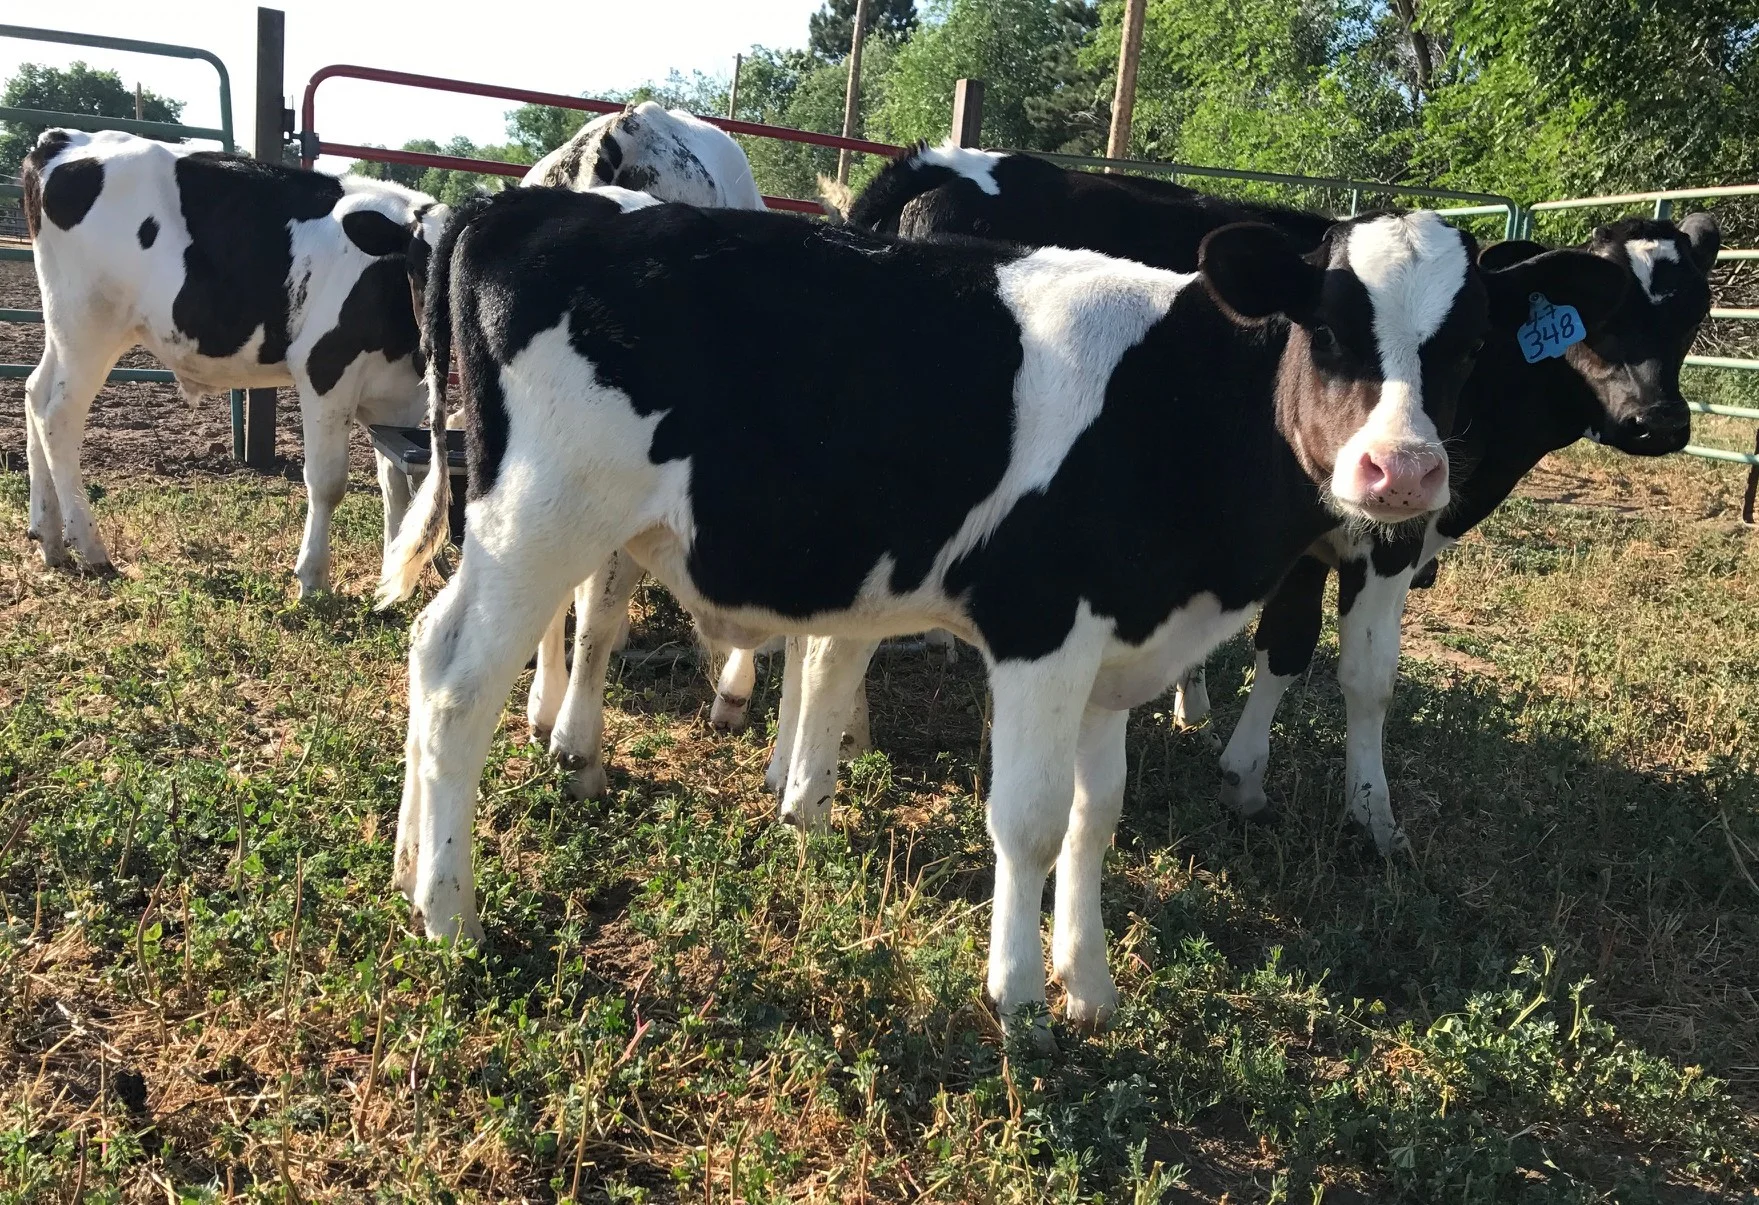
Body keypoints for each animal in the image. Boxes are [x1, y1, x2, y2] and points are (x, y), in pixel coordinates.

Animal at [19, 128, 447, 598]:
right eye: (417, 265)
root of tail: (62, 139)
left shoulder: (398, 399)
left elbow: (400, 484)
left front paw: (394, 577)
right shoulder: (325, 372)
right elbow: (328, 482)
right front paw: (313, 580)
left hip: (64, 329)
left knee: (35, 394)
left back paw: (49, 538)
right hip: (90, 326)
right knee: (58, 416)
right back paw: (91, 549)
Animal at [377, 185, 1621, 1039]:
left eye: (1465, 346)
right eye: (1324, 328)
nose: (1401, 471)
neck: (1173, 408)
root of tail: (515, 206)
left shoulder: (1118, 648)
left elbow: (1095, 814)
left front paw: (1091, 980)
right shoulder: (1040, 629)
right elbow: (1024, 818)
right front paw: (1019, 992)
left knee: (427, 654)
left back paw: (404, 862)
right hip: (541, 518)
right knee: (459, 682)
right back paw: (448, 911)